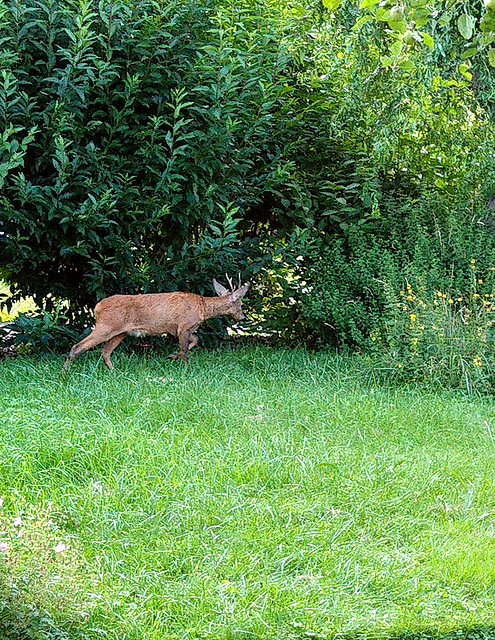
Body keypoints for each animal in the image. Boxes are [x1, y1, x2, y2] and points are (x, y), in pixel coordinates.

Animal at [65, 276, 252, 370]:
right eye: (240, 304)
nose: (242, 317)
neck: (203, 307)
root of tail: (97, 307)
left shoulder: (180, 329)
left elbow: (195, 340)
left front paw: (171, 356)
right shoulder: (183, 326)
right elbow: (186, 350)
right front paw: (186, 369)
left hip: (120, 332)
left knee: (105, 352)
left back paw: (114, 372)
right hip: (107, 326)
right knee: (78, 346)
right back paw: (65, 372)